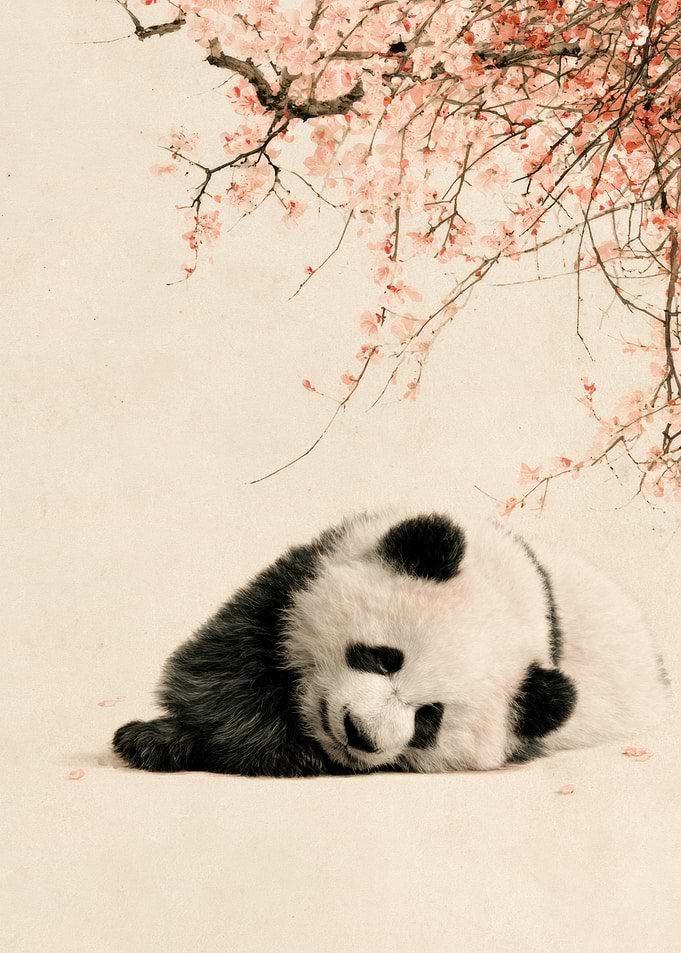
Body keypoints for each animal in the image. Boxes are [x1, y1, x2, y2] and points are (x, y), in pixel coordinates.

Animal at [113, 509, 669, 776]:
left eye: (430, 718)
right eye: (383, 659)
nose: (360, 733)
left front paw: (282, 755)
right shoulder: (305, 576)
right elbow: (228, 666)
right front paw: (154, 738)